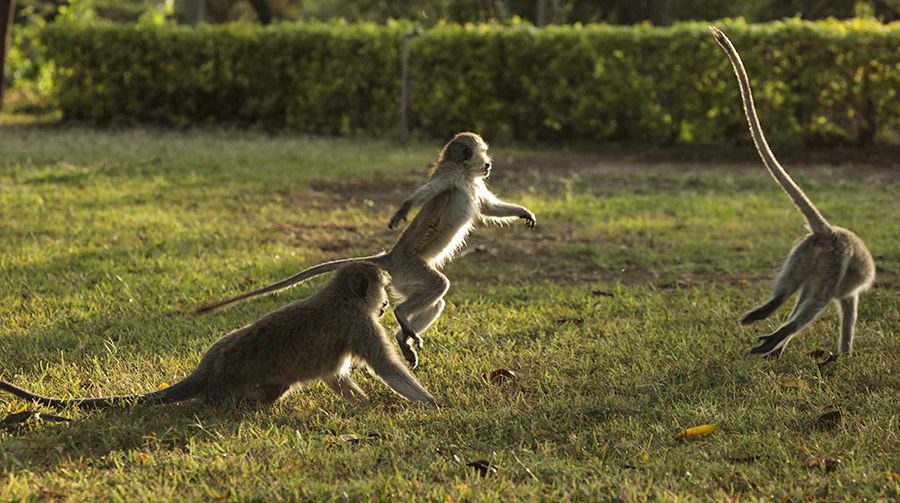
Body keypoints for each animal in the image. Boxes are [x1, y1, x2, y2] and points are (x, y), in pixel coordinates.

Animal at [0, 264, 436, 410]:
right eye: (380, 292)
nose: (384, 305)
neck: (341, 295)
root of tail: (208, 371)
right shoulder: (360, 324)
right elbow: (386, 367)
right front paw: (433, 405)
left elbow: (337, 376)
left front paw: (363, 405)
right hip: (236, 388)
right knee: (269, 391)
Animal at [195, 133, 536, 370]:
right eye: (482, 154)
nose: (488, 165)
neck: (466, 176)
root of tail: (390, 257)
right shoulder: (448, 179)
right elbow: (422, 194)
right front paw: (401, 212)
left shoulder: (474, 186)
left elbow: (489, 207)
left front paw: (524, 213)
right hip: (410, 269)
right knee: (438, 287)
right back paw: (402, 318)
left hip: (405, 279)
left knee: (436, 299)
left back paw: (402, 337)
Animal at [712, 26, 872, 358]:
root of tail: (828, 232)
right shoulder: (844, 288)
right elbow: (846, 309)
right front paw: (845, 354)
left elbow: (804, 298)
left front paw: (780, 347)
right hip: (834, 265)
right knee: (814, 305)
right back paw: (778, 335)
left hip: (803, 254)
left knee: (789, 291)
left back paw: (767, 316)